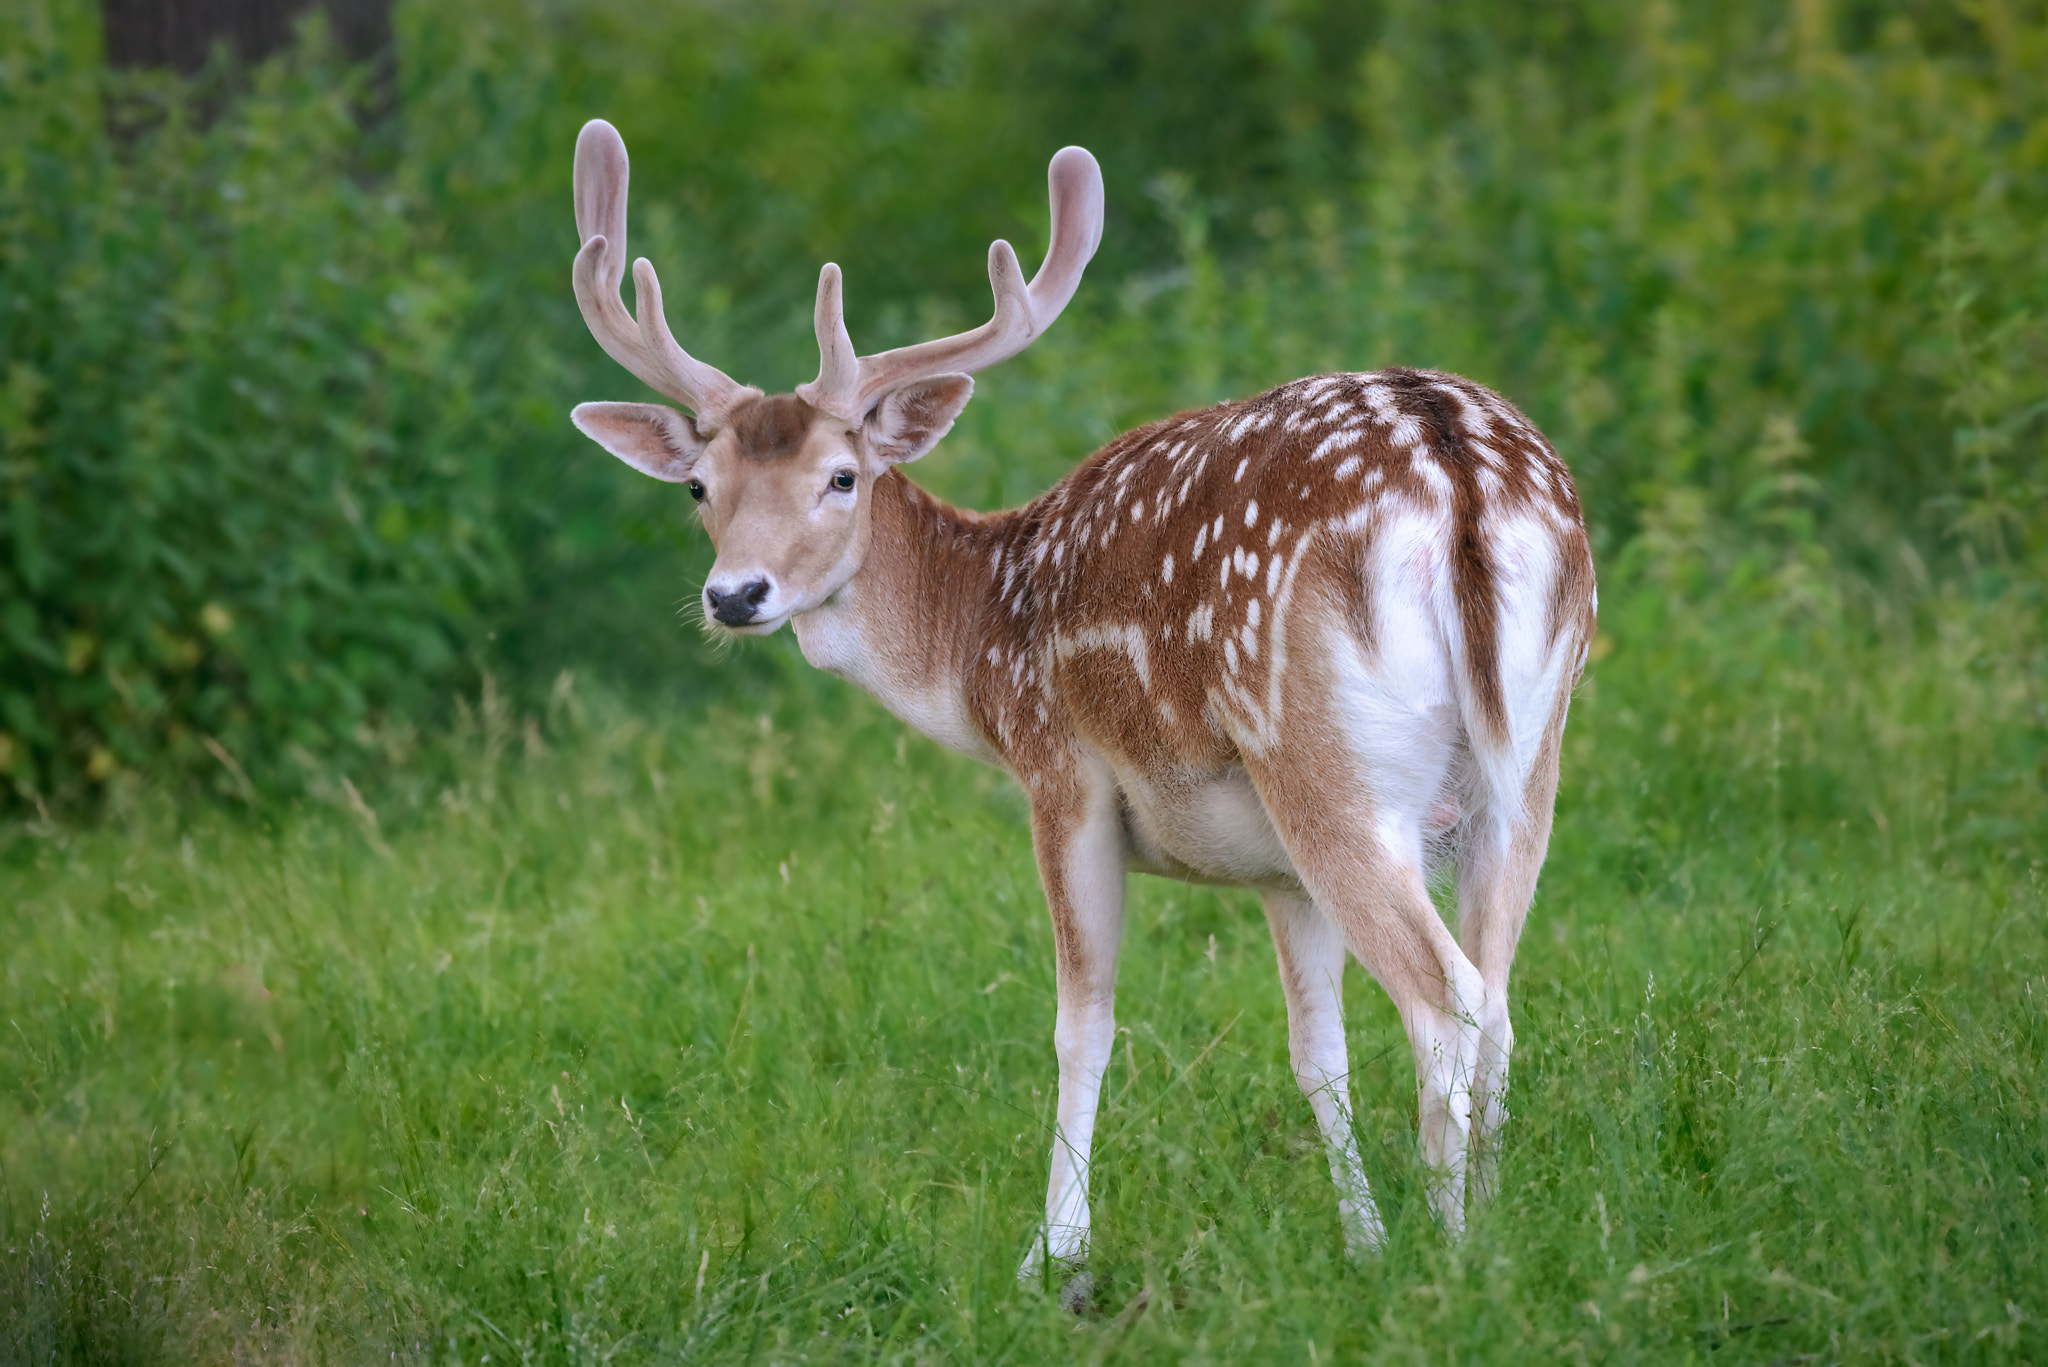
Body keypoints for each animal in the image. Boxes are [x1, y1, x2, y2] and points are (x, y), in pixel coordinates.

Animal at [565, 120, 1597, 1287]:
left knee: (1445, 998)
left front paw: (1052, 1255)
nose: (735, 595)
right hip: (1524, 764)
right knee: (1499, 995)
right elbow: (1315, 1052)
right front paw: (1359, 1239)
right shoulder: (1274, 873)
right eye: (700, 487)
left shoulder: (1061, 773)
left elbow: (1081, 1021)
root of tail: (1454, 469)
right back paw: (1492, 1234)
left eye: (841, 475)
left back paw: (1451, 1255)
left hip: (1325, 757)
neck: (982, 637)